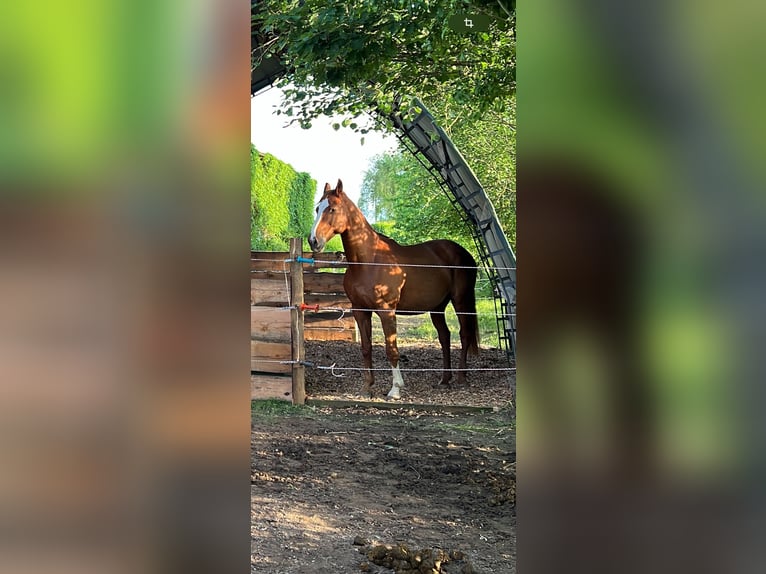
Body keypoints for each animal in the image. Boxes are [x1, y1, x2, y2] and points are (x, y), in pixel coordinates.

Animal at [308, 180, 480, 400]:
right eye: (317, 209)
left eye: (332, 209)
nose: (314, 241)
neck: (368, 261)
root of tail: (463, 253)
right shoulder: (360, 310)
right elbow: (366, 347)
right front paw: (367, 387)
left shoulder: (386, 311)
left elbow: (392, 349)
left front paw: (395, 389)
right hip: (437, 307)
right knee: (445, 336)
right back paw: (444, 379)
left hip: (461, 300)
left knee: (464, 334)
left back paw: (461, 378)